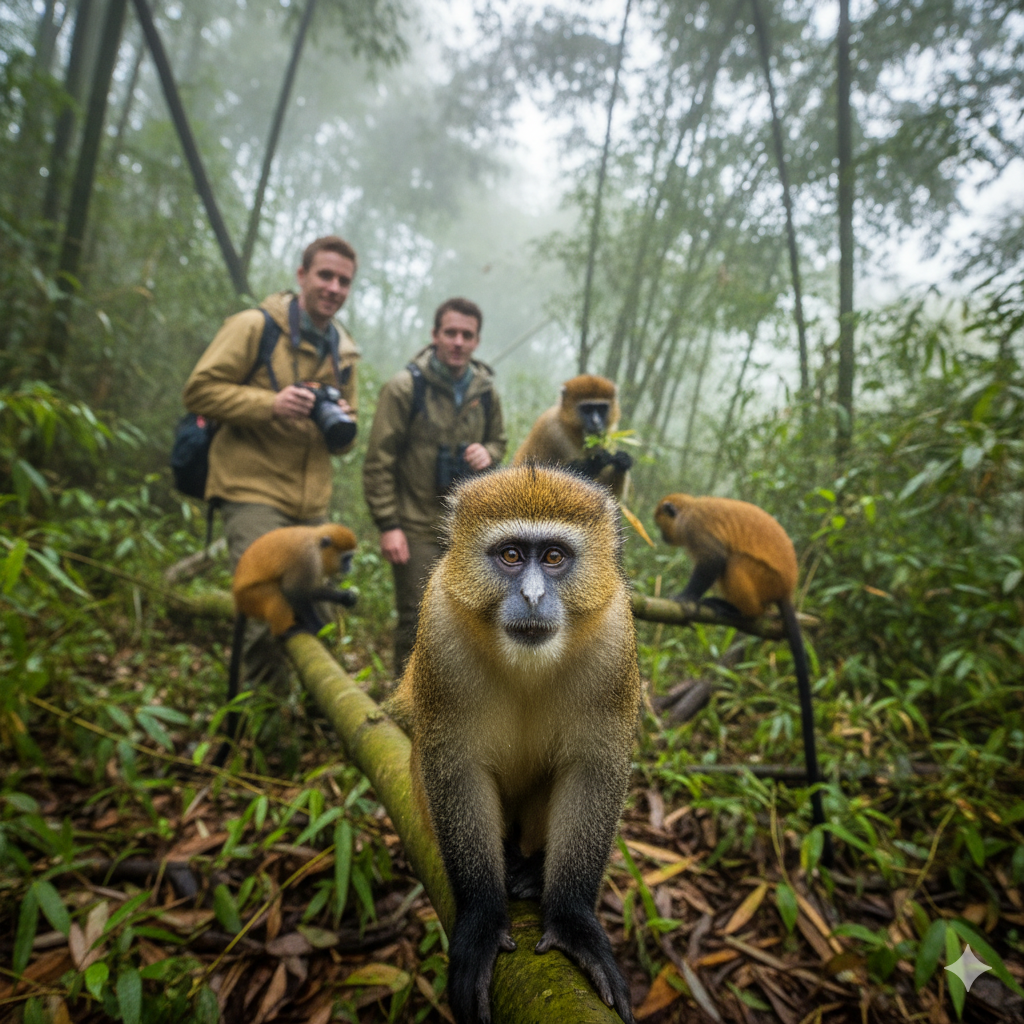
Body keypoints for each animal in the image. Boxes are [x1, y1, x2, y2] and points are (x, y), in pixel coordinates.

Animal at [214, 524, 357, 767]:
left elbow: (310, 590)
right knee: (276, 592)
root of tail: (238, 599)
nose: (349, 566)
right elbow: (294, 591)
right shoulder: (307, 560)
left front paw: (343, 597)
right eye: (346, 558)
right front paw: (317, 627)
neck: (316, 541)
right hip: (252, 598)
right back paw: (285, 630)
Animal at [388, 465, 640, 1024]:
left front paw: (571, 919)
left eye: (553, 558)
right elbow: (455, 768)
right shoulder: (440, 623)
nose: (531, 596)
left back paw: (530, 869)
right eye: (510, 555)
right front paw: (482, 920)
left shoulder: (614, 634)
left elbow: (593, 770)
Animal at [653, 494, 833, 867]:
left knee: (732, 563)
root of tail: (787, 588)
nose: (662, 536)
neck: (691, 505)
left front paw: (685, 598)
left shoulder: (694, 528)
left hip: (763, 579)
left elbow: (714, 560)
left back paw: (742, 612)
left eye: (662, 524)